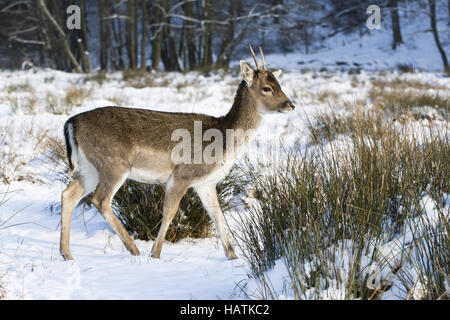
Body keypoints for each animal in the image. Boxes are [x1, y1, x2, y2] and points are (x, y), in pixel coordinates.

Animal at [60, 45, 296, 260]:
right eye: (267, 87)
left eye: (279, 83)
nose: (291, 105)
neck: (223, 142)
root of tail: (71, 123)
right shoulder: (182, 174)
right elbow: (170, 212)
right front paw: (155, 254)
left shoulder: (206, 182)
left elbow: (217, 215)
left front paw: (233, 256)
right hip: (114, 164)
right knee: (100, 200)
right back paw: (133, 249)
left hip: (90, 168)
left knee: (68, 194)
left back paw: (67, 254)